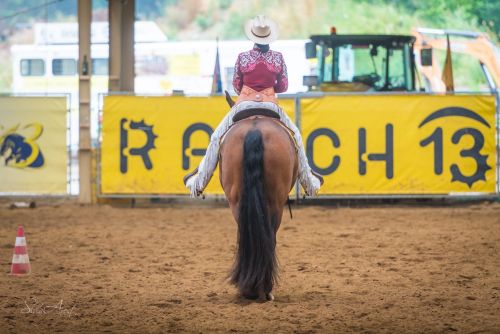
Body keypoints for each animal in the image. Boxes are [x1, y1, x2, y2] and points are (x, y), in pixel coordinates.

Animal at [219, 92, 296, 302]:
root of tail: (255, 131)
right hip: (275, 203)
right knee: (270, 235)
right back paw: (264, 289)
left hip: (237, 200)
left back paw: (251, 288)